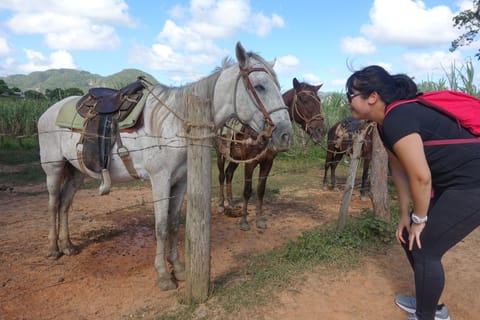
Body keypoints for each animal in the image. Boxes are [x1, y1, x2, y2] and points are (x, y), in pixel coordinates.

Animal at [37, 42, 294, 290]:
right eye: (259, 86)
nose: (285, 135)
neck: (175, 124)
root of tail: (47, 112)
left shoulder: (180, 181)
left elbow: (173, 225)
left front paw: (178, 269)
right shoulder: (160, 180)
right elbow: (160, 227)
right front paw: (163, 276)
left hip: (76, 172)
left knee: (65, 204)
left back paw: (68, 245)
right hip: (54, 168)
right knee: (53, 204)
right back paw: (53, 248)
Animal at [217, 77, 326, 230]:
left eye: (319, 100)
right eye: (304, 100)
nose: (321, 130)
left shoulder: (267, 162)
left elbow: (260, 190)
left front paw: (259, 219)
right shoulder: (250, 163)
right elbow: (247, 191)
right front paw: (244, 221)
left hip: (235, 158)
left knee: (229, 174)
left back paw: (231, 204)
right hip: (220, 154)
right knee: (221, 176)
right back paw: (222, 205)